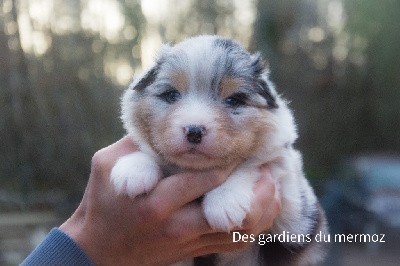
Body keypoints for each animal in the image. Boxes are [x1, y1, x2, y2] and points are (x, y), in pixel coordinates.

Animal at [111, 35, 326, 266]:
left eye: (234, 100)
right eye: (171, 95)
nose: (194, 131)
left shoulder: (293, 211)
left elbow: (252, 165)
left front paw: (224, 201)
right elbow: (149, 152)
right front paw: (133, 171)